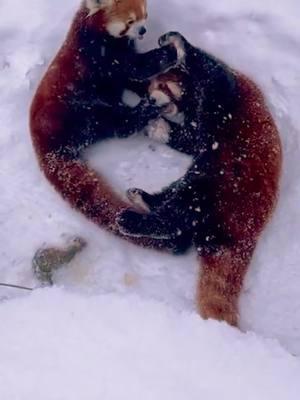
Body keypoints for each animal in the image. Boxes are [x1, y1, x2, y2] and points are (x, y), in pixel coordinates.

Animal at [29, 0, 180, 252]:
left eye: (145, 14)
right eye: (130, 21)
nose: (143, 31)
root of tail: (42, 142)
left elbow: (132, 77)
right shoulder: (100, 55)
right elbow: (135, 67)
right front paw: (171, 51)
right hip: (75, 111)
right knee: (116, 123)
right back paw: (149, 106)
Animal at [117, 32, 282, 326]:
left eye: (162, 88)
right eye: (151, 90)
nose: (152, 102)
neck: (193, 98)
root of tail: (245, 237)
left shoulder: (227, 94)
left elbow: (210, 70)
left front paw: (179, 44)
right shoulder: (203, 124)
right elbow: (192, 139)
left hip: (221, 187)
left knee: (180, 214)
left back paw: (135, 219)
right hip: (204, 181)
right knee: (178, 204)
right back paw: (145, 200)